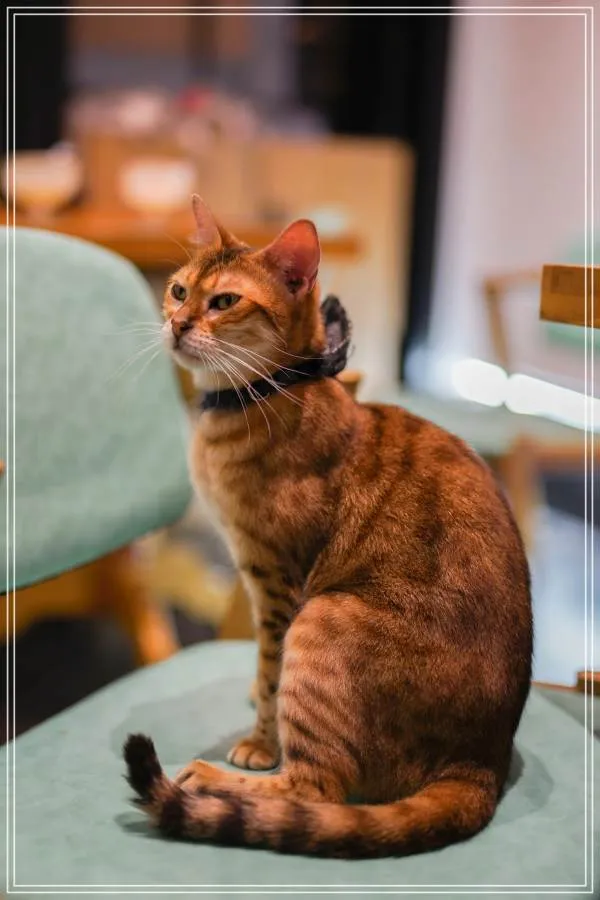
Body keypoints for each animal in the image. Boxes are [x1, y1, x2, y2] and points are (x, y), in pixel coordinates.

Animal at [124, 195, 533, 858]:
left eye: (224, 301)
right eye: (179, 290)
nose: (177, 324)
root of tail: (481, 766)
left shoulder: (275, 581)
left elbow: (270, 671)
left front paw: (259, 743)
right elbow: (260, 669)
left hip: (325, 617)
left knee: (317, 790)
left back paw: (212, 779)